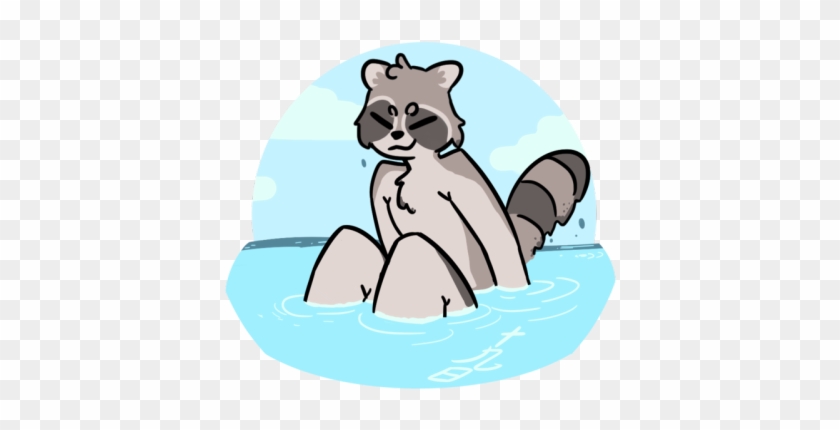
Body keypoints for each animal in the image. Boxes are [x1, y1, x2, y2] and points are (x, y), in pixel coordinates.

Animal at [304, 54, 591, 321]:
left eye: (416, 116)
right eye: (386, 114)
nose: (396, 134)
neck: (414, 167)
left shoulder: (464, 175)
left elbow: (496, 238)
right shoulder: (382, 177)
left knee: (414, 251)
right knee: (348, 237)